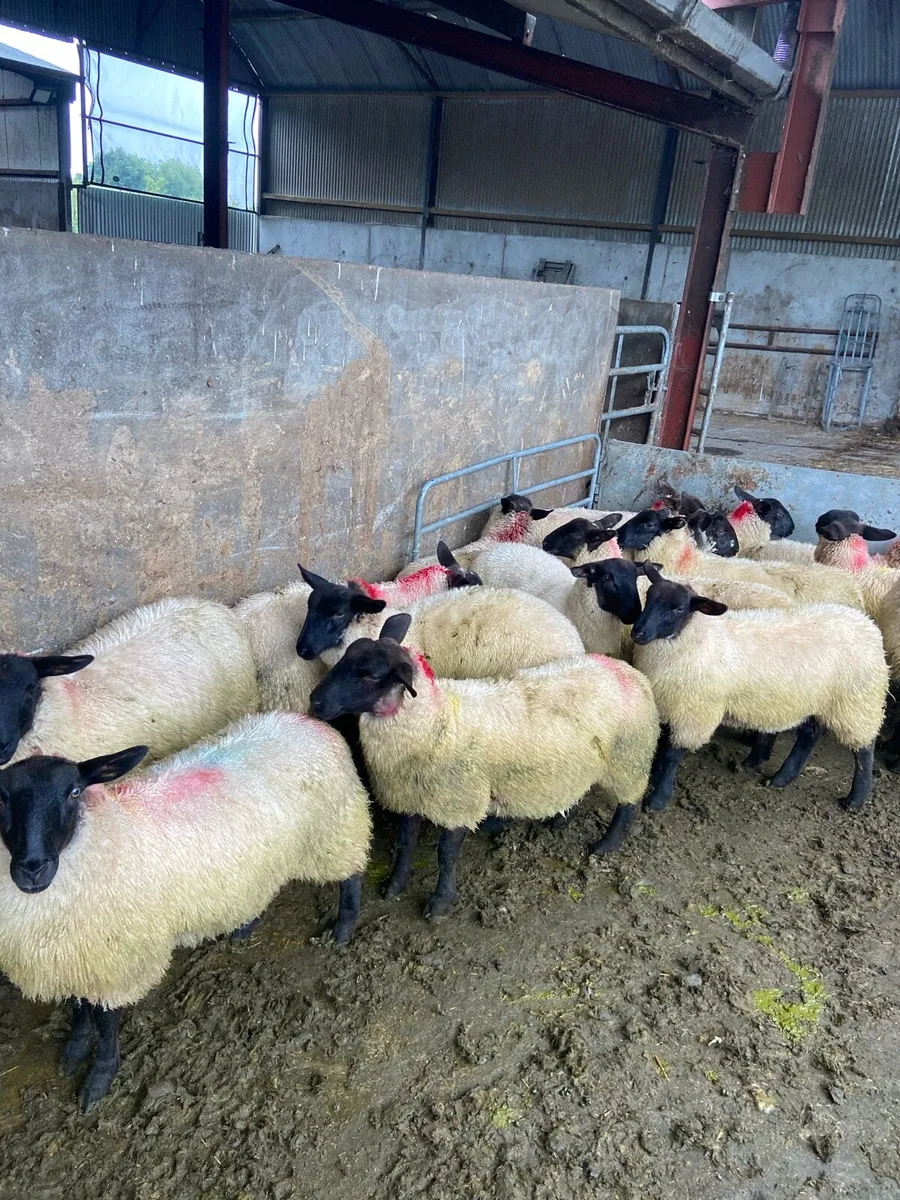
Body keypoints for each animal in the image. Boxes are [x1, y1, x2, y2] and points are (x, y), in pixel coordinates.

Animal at [0, 710, 371, 1109]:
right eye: (2, 797)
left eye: (74, 791)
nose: (32, 869)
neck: (108, 832)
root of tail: (307, 721)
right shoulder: (76, 959)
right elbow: (79, 1009)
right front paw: (73, 1052)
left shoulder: (116, 961)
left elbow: (104, 1021)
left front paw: (99, 1080)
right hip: (263, 863)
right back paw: (243, 928)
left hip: (335, 831)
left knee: (352, 876)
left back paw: (343, 929)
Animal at [309, 614, 660, 916]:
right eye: (343, 659)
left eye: (369, 675)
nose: (315, 701)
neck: (436, 722)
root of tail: (629, 672)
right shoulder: (410, 796)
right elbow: (405, 845)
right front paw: (394, 885)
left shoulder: (459, 803)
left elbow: (446, 855)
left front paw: (440, 903)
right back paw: (559, 821)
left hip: (629, 758)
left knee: (629, 803)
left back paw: (607, 844)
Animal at [630, 565, 888, 817]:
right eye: (648, 596)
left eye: (679, 608)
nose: (638, 632)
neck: (696, 636)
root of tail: (867, 624)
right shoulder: (668, 703)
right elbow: (661, 748)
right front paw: (654, 777)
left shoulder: (693, 714)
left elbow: (671, 756)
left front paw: (658, 799)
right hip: (818, 700)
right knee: (809, 736)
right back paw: (781, 778)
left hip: (856, 703)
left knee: (864, 750)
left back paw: (856, 798)